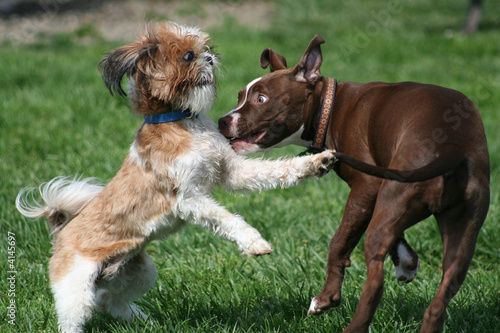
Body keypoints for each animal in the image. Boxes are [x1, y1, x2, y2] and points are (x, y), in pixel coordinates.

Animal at [15, 22, 336, 330]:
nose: (211, 58)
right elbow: (227, 219)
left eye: (207, 48)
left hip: (138, 271)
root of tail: (60, 230)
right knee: (76, 315)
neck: (182, 123)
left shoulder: (232, 171)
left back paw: (143, 321)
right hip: (76, 288)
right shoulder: (188, 199)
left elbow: (275, 170)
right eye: (188, 56)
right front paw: (255, 243)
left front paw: (318, 161)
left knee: (109, 300)